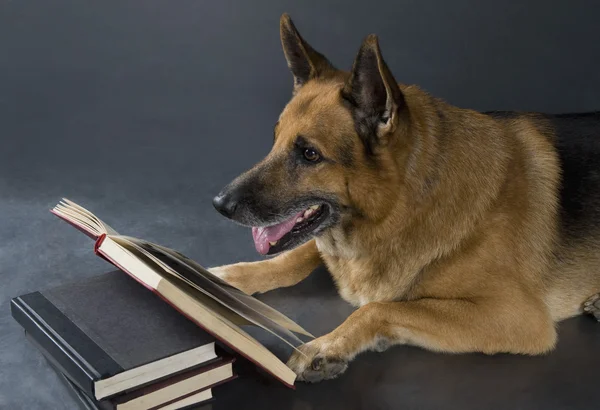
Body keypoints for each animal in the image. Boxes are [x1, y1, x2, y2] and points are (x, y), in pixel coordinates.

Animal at [210, 13, 600, 384]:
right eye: (275, 139)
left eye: (309, 154)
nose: (219, 204)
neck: (405, 203)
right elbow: (298, 255)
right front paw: (230, 277)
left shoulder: (515, 316)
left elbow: (380, 307)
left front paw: (327, 345)